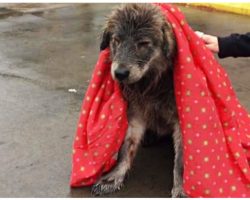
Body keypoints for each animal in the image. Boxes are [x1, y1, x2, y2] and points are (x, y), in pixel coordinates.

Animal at [92, 3, 186, 198]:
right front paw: (112, 177)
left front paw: (181, 189)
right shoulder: (135, 113)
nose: (120, 73)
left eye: (143, 44)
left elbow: (181, 161)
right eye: (116, 40)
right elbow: (125, 148)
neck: (152, 86)